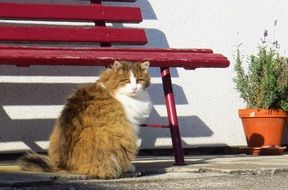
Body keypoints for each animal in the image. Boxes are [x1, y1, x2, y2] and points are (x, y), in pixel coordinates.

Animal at [18, 61, 152, 180]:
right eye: (126, 80)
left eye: (139, 80)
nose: (134, 88)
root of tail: (65, 167)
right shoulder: (129, 125)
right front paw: (129, 166)